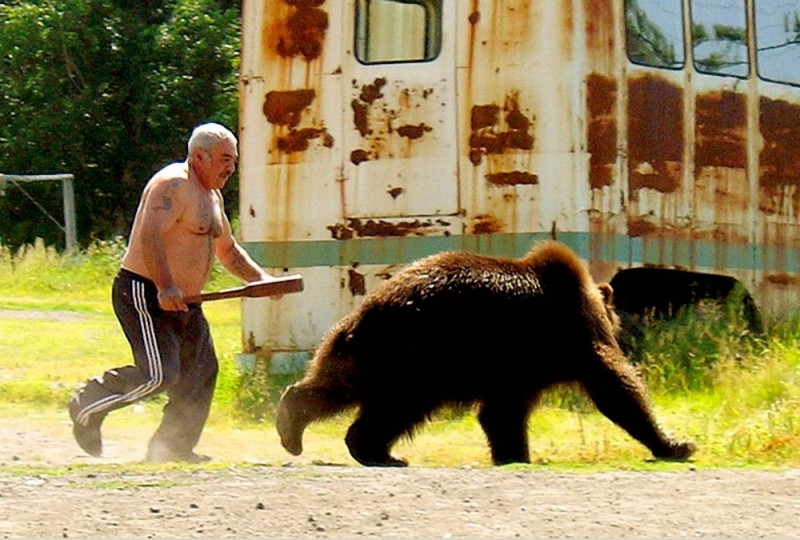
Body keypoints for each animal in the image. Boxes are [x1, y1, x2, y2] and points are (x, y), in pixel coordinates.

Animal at [278, 238, 696, 466]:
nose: (625, 322)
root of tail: (366, 311)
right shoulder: (569, 336)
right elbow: (614, 386)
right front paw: (676, 443)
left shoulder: (516, 369)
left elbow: (501, 414)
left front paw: (513, 453)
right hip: (419, 354)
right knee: (398, 407)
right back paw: (376, 450)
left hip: (361, 352)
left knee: (335, 386)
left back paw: (295, 426)